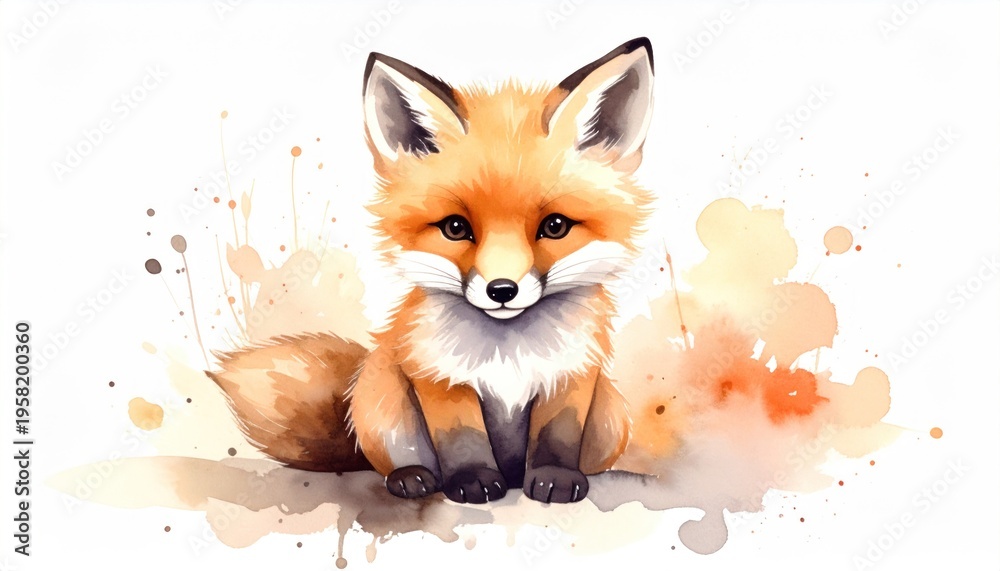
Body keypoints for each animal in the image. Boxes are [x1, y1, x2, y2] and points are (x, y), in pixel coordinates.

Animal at [208, 37, 656, 504]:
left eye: (555, 227)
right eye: (455, 228)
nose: (502, 290)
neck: (507, 350)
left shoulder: (571, 377)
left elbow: (557, 435)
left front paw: (555, 478)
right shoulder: (438, 377)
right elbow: (462, 439)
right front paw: (473, 480)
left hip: (610, 416)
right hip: (383, 401)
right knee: (394, 460)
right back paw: (411, 477)